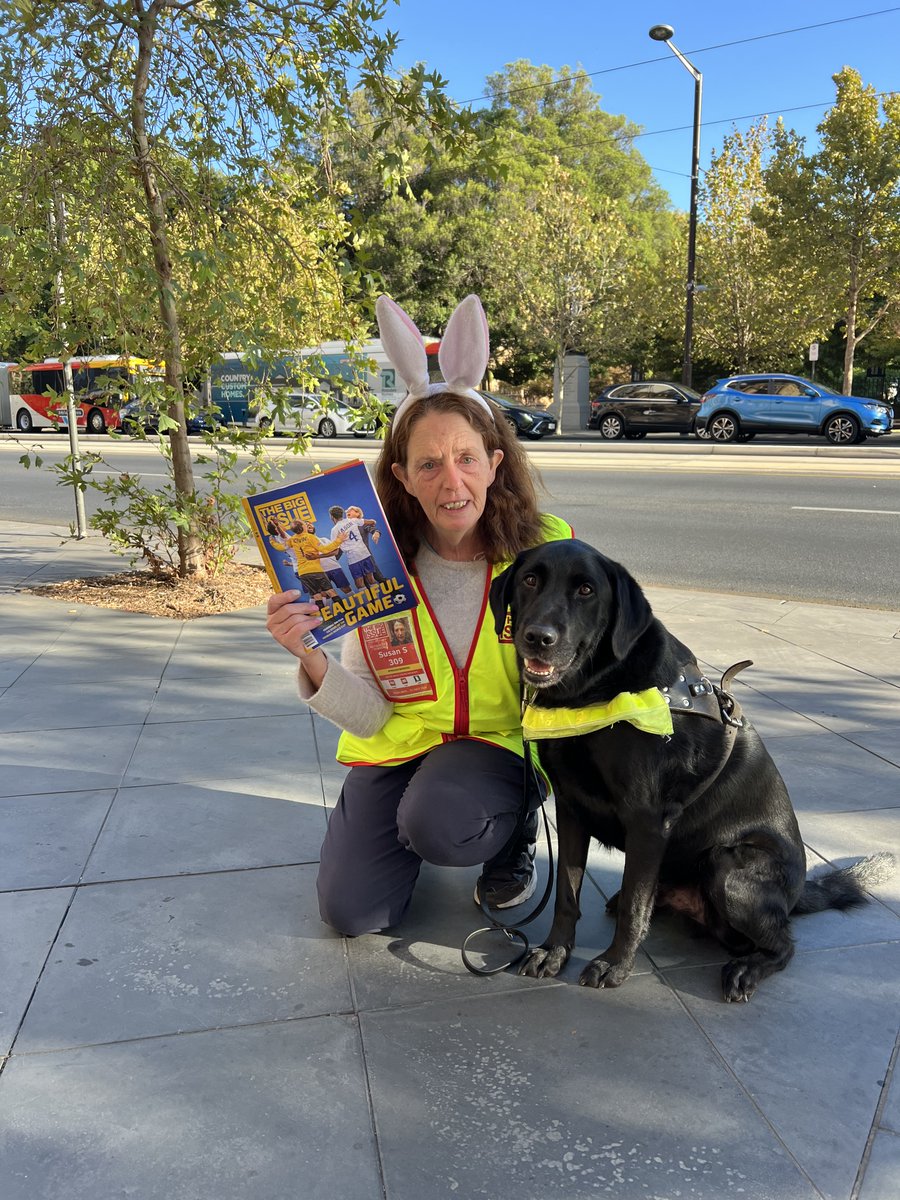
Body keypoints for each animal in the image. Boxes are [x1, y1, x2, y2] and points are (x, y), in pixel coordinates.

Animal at [494, 540, 897, 998]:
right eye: (530, 580)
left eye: (586, 590)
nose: (537, 637)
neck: (594, 690)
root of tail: (796, 896)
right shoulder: (571, 807)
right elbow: (567, 891)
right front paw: (554, 952)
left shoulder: (648, 820)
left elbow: (635, 906)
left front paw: (615, 964)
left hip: (728, 868)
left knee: (783, 945)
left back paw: (747, 969)